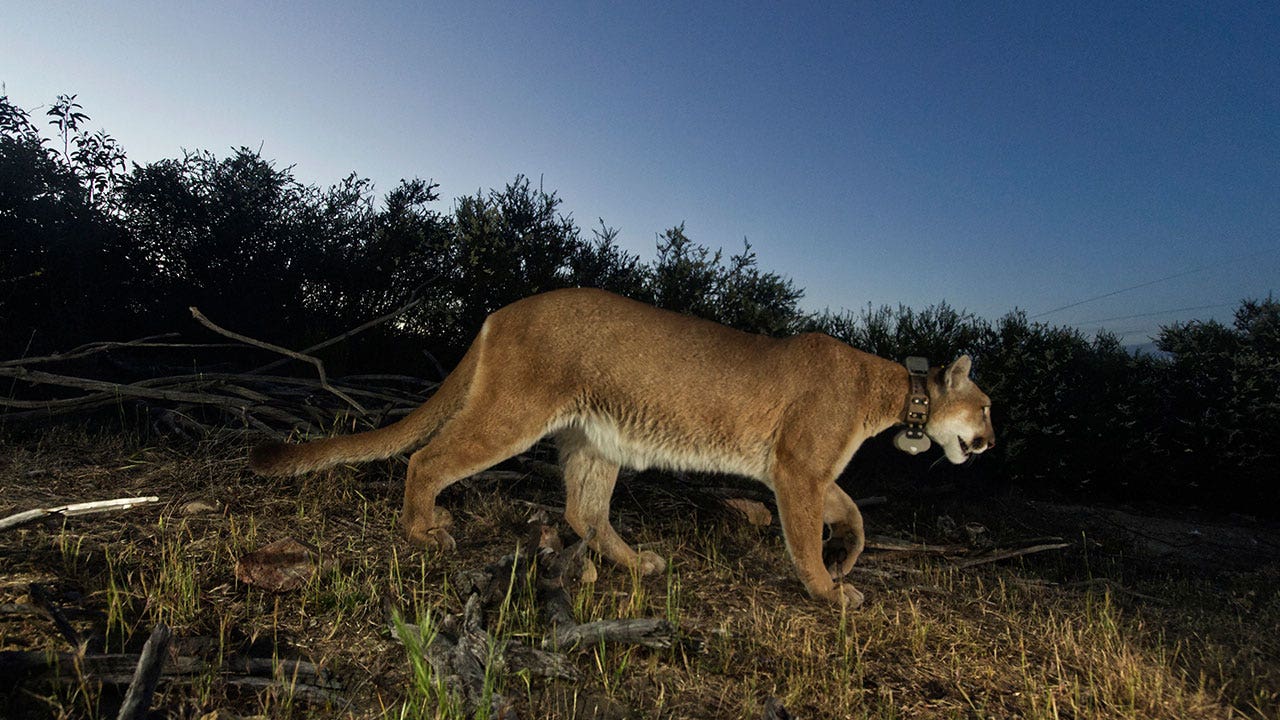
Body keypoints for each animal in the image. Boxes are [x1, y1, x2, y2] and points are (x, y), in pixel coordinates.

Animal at [247, 286, 988, 604]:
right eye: (984, 407)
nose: (988, 439)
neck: (890, 388)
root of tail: (499, 312)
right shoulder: (798, 468)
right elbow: (807, 536)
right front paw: (832, 592)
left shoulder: (801, 471)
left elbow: (850, 509)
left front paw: (850, 554)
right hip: (514, 412)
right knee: (427, 458)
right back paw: (424, 532)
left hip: (597, 438)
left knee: (583, 511)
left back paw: (637, 564)